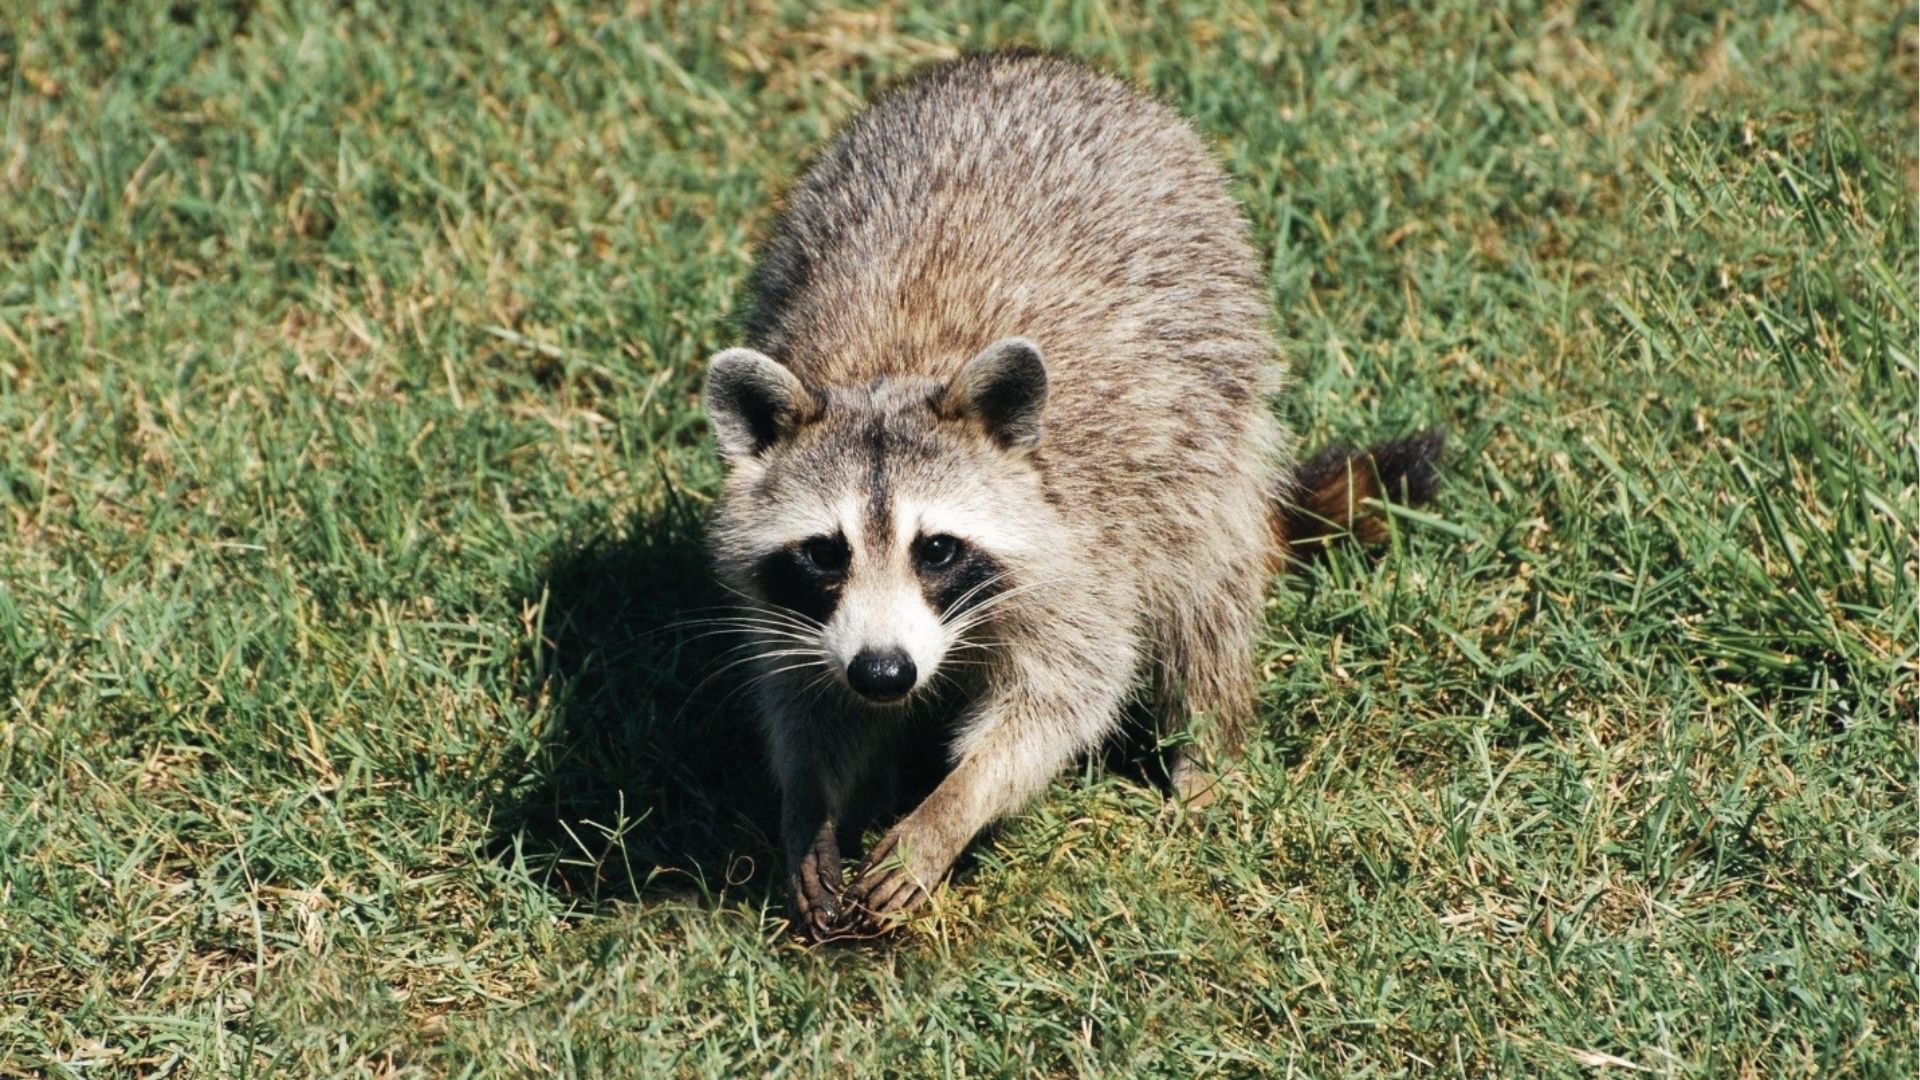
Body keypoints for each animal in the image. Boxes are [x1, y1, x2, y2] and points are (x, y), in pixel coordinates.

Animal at [702, 52, 1439, 938]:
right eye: (823, 552)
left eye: (937, 549)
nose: (884, 673)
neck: (891, 368)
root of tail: (1027, 59)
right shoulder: (795, 609)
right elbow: (809, 696)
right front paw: (811, 806)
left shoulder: (1081, 549)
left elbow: (1059, 701)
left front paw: (951, 809)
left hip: (1219, 399)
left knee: (1210, 590)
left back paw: (1203, 743)